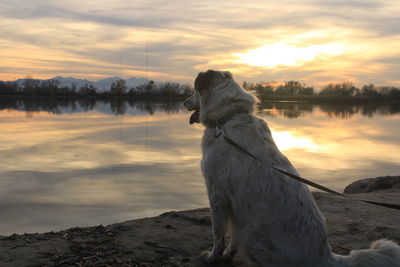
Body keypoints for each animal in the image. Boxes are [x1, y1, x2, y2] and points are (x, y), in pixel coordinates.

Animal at [184, 70, 400, 266]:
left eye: (194, 90)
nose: (184, 102)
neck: (227, 119)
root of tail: (326, 257)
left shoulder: (217, 193)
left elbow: (219, 234)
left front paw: (212, 257)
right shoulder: (236, 209)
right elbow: (232, 237)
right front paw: (226, 256)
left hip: (253, 237)